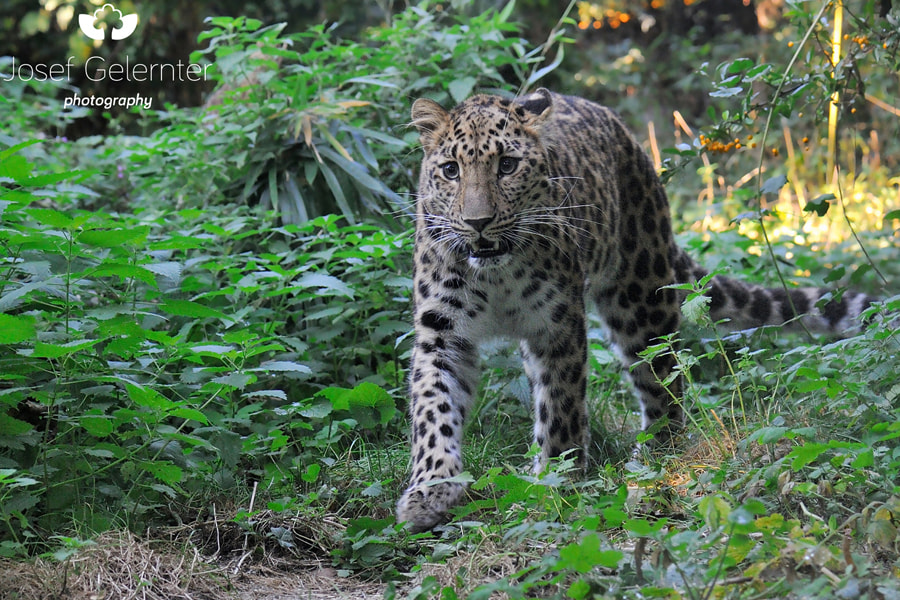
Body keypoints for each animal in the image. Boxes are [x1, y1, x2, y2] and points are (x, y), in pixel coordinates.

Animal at [396, 88, 874, 533]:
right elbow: (433, 409)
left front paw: (556, 484)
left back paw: (655, 456)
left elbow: (560, 409)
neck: (496, 275)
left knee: (664, 383)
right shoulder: (441, 333)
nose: (477, 223)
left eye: (507, 166)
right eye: (451, 170)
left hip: (641, 299)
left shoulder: (557, 327)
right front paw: (430, 491)